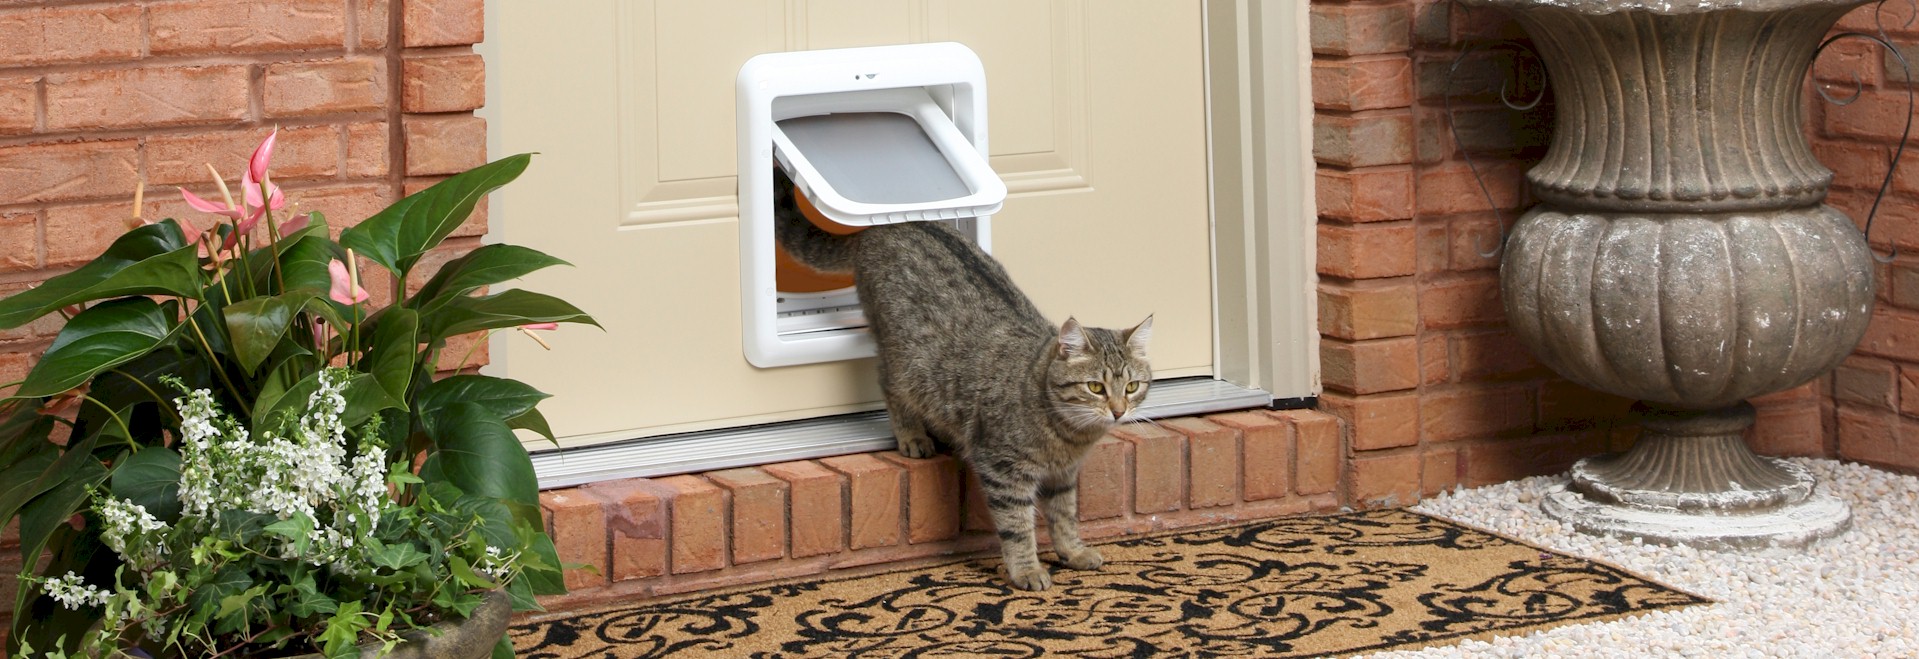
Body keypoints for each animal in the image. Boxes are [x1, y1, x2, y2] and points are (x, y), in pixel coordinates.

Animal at [771, 171, 1143, 595]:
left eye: (1132, 387)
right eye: (1096, 387)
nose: (1118, 411)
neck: (1068, 436)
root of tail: (893, 224)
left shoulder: (1063, 478)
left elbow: (1064, 516)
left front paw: (1073, 551)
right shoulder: (1002, 469)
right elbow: (1017, 527)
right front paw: (1027, 570)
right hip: (903, 361)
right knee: (889, 386)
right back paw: (913, 435)